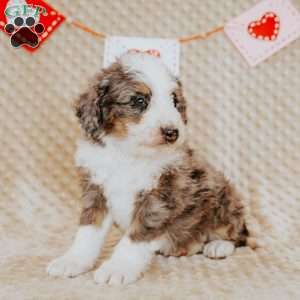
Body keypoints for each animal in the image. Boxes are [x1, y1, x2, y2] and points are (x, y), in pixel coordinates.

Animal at [47, 52, 248, 286]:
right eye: (139, 100)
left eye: (174, 101)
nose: (172, 132)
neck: (127, 153)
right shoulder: (96, 191)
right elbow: (88, 232)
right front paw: (72, 260)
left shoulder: (159, 199)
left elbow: (135, 238)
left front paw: (118, 267)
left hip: (225, 196)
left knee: (238, 234)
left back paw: (218, 245)